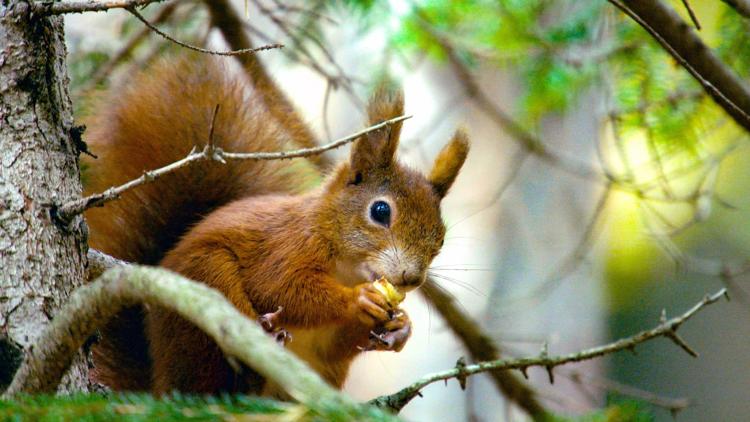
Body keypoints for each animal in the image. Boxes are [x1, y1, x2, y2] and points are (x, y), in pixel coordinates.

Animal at [83, 53, 470, 396]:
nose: (411, 278)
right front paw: (357, 300)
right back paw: (264, 333)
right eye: (380, 211)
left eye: (441, 238)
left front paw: (400, 328)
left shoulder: (327, 345)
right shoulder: (284, 246)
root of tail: (160, 385)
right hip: (205, 283)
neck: (346, 266)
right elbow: (282, 288)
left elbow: (339, 343)